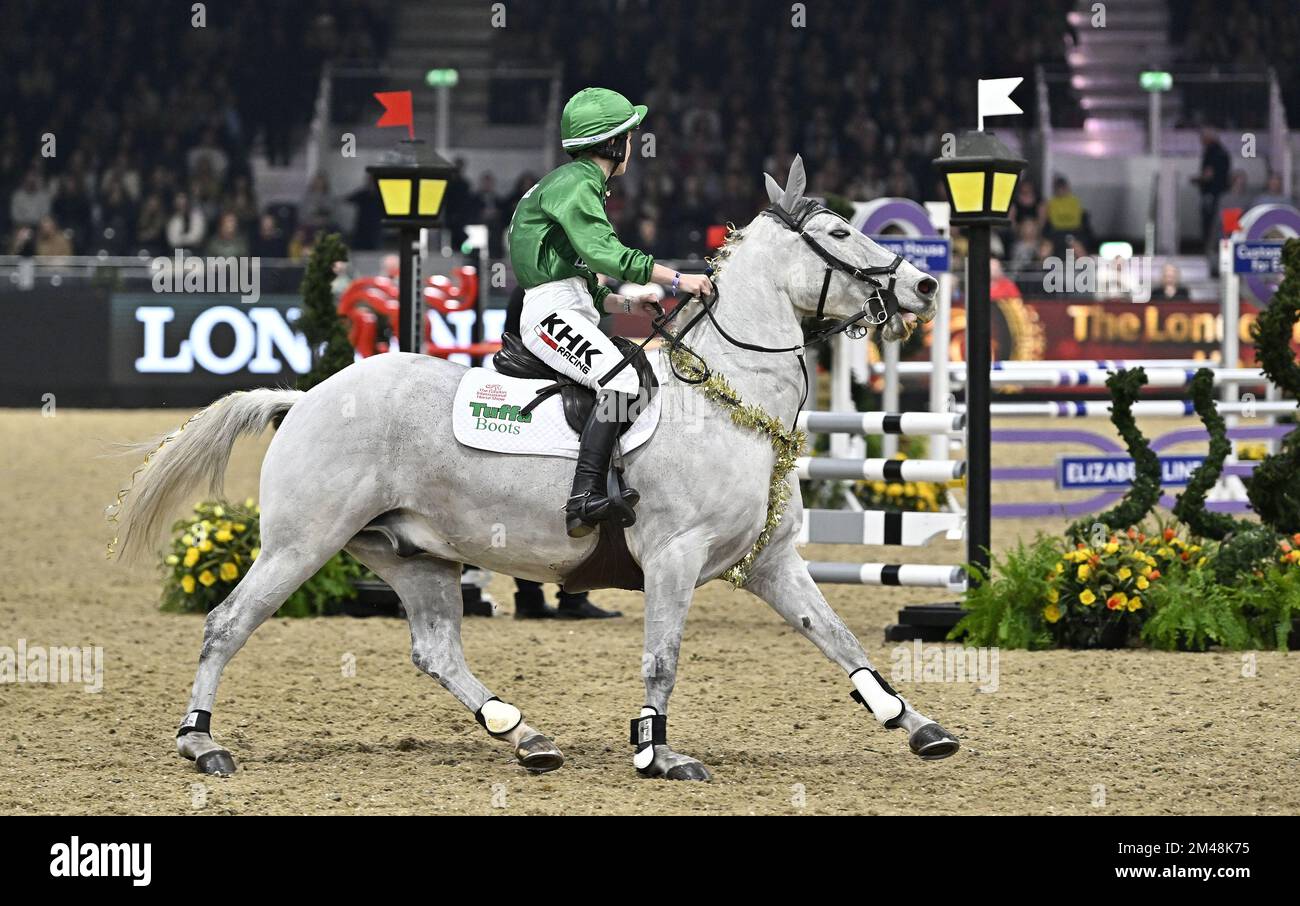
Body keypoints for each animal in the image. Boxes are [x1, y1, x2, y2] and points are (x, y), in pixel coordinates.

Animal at [114, 155, 967, 779]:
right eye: (840, 232)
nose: (925, 282)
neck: (729, 399)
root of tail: (308, 396)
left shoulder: (771, 563)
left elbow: (842, 641)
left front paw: (918, 725)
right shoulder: (674, 558)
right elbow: (662, 659)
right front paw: (658, 753)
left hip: (413, 554)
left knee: (436, 652)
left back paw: (521, 733)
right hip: (301, 544)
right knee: (227, 624)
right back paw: (202, 743)